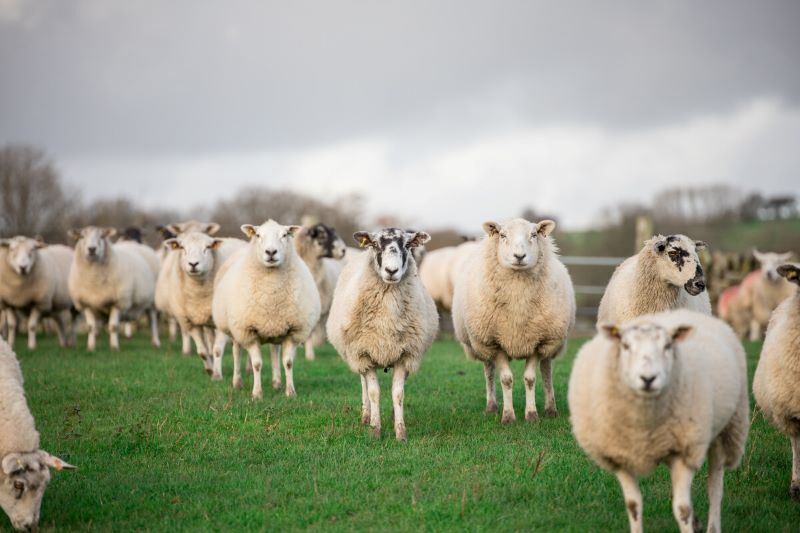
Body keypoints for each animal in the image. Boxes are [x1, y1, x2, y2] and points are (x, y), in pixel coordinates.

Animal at [161, 231, 246, 377]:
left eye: (207, 247)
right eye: (183, 248)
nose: (193, 264)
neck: (198, 295)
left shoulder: (220, 321)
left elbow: (217, 349)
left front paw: (217, 375)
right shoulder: (191, 323)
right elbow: (202, 351)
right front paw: (209, 370)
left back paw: (249, 369)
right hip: (209, 322)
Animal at [212, 220, 320, 399]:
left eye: (285, 235)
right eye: (258, 235)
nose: (270, 252)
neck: (271, 292)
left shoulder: (293, 330)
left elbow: (288, 363)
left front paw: (290, 392)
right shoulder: (248, 331)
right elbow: (256, 364)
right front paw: (257, 394)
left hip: (275, 327)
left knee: (274, 350)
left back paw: (276, 383)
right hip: (233, 328)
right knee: (236, 352)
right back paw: (237, 382)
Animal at [327, 228, 437, 441]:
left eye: (407, 245)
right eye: (376, 244)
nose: (391, 271)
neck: (388, 317)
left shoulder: (405, 354)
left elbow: (398, 394)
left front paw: (400, 432)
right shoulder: (364, 353)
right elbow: (373, 393)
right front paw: (375, 430)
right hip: (357, 355)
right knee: (363, 385)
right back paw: (366, 416)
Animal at [451, 218, 574, 424]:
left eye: (534, 234)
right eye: (502, 235)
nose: (519, 256)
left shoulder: (537, 341)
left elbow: (530, 379)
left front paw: (531, 415)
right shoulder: (495, 343)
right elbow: (506, 379)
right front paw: (508, 416)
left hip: (550, 340)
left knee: (546, 371)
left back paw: (551, 408)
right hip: (482, 343)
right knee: (489, 372)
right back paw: (491, 406)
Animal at [568, 310, 749, 533]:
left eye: (667, 346)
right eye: (625, 345)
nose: (648, 379)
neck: (644, 427)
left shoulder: (685, 451)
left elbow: (682, 509)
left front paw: (688, 522)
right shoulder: (620, 457)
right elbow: (633, 505)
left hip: (726, 428)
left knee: (715, 486)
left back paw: (712, 526)